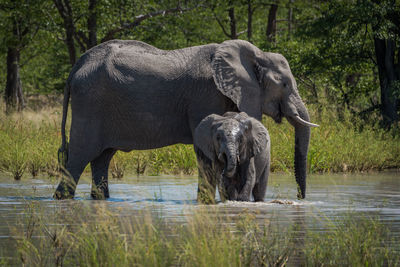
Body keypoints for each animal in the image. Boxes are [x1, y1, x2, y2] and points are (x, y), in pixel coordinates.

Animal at [54, 38, 318, 200]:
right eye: (285, 84)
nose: (300, 198)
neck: (256, 54)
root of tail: (76, 67)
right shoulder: (207, 94)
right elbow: (204, 150)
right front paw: (206, 202)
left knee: (102, 158)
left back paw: (100, 199)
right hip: (90, 103)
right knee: (79, 157)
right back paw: (62, 197)